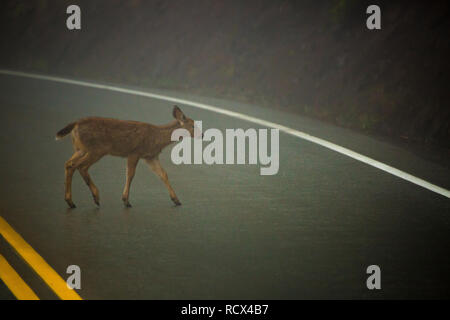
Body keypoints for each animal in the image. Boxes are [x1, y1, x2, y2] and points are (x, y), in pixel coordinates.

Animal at [54, 106, 200, 209]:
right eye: (193, 125)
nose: (202, 134)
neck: (156, 138)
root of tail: (76, 124)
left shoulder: (150, 156)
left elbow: (163, 174)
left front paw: (176, 200)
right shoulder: (134, 152)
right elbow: (130, 174)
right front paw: (126, 200)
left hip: (81, 149)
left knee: (69, 164)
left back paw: (72, 201)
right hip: (96, 149)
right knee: (80, 166)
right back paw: (93, 197)